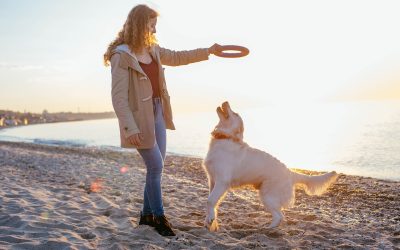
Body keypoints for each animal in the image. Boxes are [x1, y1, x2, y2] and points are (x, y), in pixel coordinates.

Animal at [203, 101, 338, 230]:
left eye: (235, 114)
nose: (226, 101)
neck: (224, 138)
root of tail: (290, 172)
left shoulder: (222, 181)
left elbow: (210, 200)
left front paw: (211, 219)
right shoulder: (212, 180)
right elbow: (211, 201)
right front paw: (210, 221)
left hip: (267, 195)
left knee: (280, 216)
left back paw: (268, 228)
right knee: (280, 215)